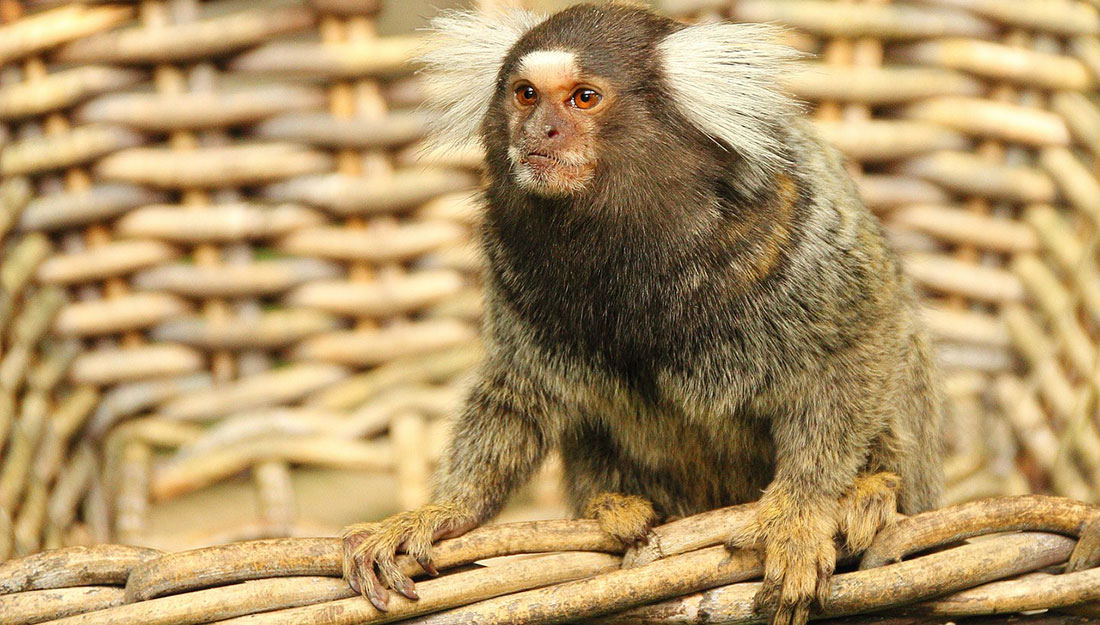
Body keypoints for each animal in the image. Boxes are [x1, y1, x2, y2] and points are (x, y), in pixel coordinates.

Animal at [343, 2, 946, 620]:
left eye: (584, 98)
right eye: (525, 94)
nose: (538, 131)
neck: (623, 234)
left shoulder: (793, 230)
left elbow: (858, 342)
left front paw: (801, 514)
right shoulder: (510, 268)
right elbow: (518, 393)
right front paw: (445, 511)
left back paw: (874, 494)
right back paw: (614, 505)